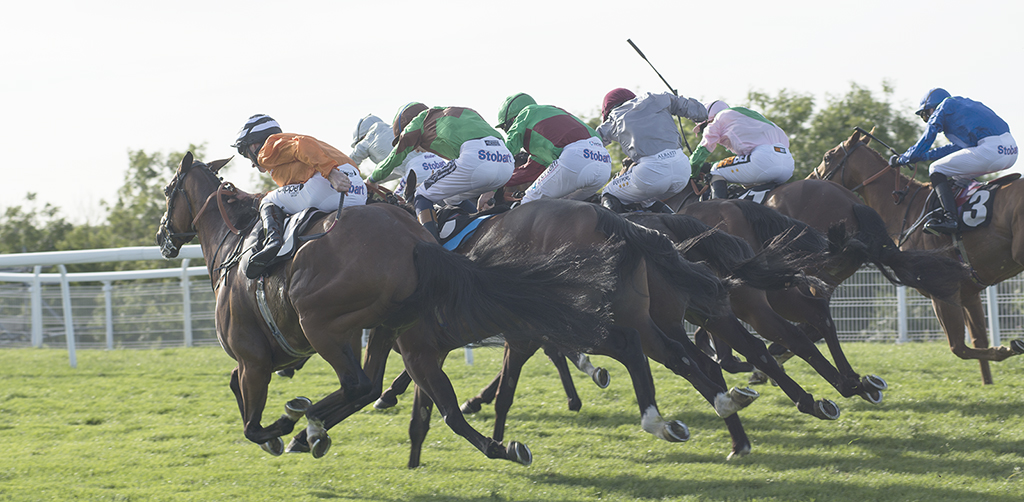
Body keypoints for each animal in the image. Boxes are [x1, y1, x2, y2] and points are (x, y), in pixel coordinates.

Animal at [151, 150, 614, 465]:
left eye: (168, 191)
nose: (162, 238)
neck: (235, 245)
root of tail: (415, 240)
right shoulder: (275, 356)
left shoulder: (253, 357)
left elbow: (250, 424)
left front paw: (281, 431)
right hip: (385, 325)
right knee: (373, 386)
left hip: (322, 323)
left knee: (359, 384)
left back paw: (306, 422)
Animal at [806, 128, 1024, 381]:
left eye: (828, 156)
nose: (809, 180)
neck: (905, 208)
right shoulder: (969, 291)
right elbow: (978, 341)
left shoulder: (943, 289)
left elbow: (959, 348)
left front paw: (1008, 348)